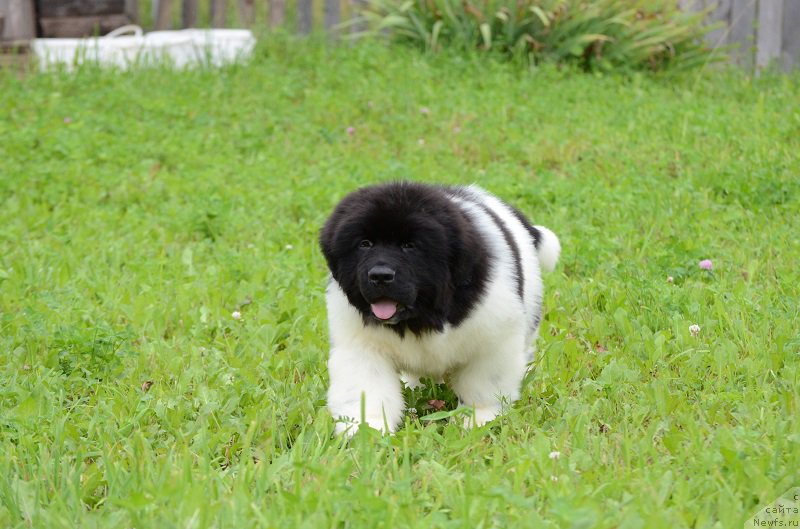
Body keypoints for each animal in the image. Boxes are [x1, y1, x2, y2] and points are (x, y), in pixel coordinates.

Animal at [316, 182, 560, 434]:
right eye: (365, 244)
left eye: (409, 246)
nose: (380, 276)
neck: (422, 316)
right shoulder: (361, 345)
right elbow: (366, 387)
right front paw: (367, 429)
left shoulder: (494, 340)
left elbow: (484, 384)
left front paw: (478, 419)